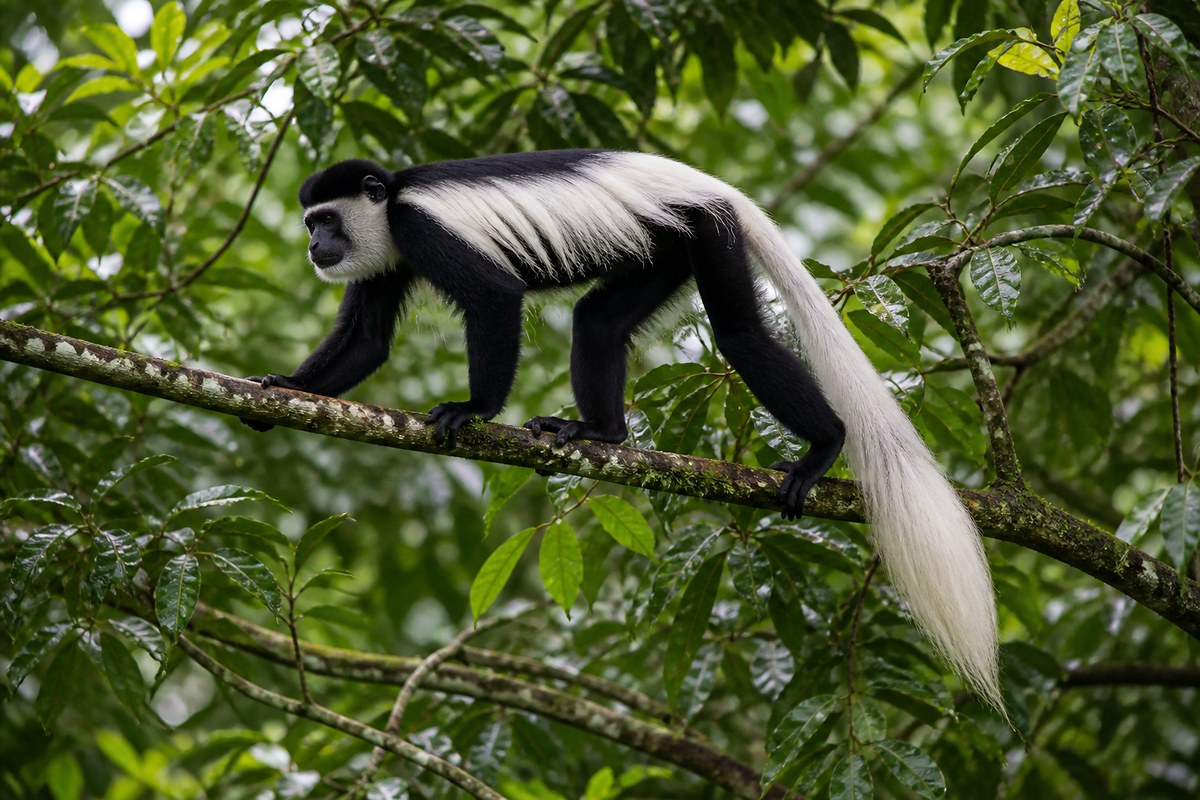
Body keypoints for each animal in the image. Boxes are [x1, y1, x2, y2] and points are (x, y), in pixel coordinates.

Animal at [244, 149, 1001, 710]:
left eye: (325, 218)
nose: (315, 244)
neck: (391, 203)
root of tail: (707, 183)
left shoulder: (420, 230)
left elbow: (493, 297)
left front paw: (473, 410)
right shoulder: (387, 258)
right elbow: (367, 341)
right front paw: (280, 391)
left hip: (704, 231)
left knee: (741, 335)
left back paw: (826, 446)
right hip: (661, 248)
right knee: (599, 321)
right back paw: (602, 434)